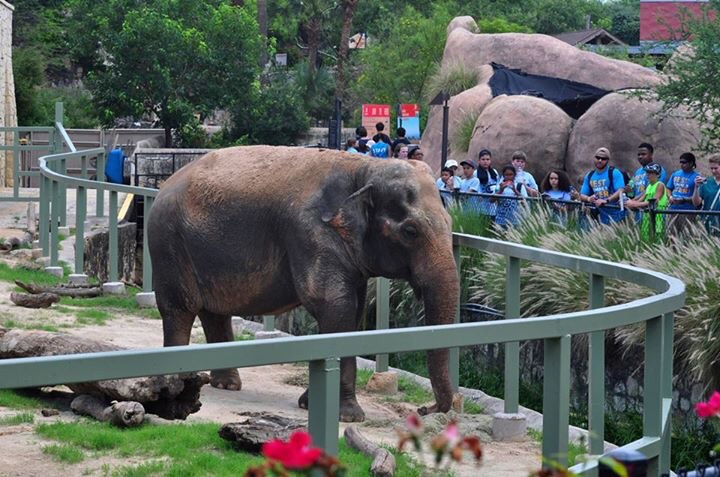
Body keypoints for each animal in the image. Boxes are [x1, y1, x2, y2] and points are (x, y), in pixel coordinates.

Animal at [147, 145, 460, 422]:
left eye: (450, 222)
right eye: (410, 231)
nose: (424, 410)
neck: (365, 168)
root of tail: (166, 182)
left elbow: (353, 311)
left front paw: (317, 405)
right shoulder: (310, 232)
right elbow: (334, 305)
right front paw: (346, 416)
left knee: (214, 312)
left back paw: (226, 385)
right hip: (168, 242)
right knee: (178, 309)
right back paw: (175, 386)